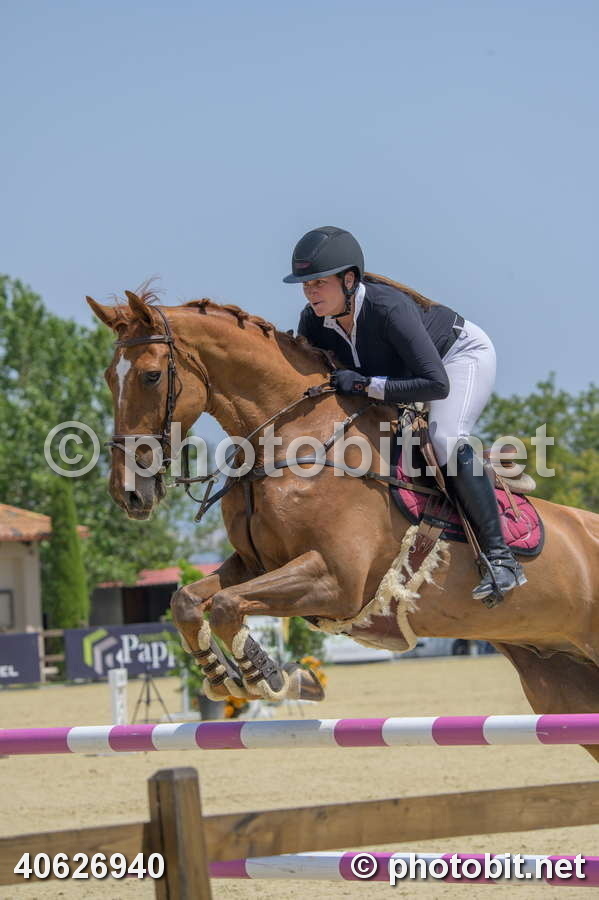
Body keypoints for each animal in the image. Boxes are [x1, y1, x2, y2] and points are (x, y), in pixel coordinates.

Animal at [87, 289, 599, 762]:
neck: (295, 440)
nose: (128, 492)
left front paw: (274, 677)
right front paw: (230, 677)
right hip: (560, 685)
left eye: (152, 375)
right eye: (109, 377)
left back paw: (501, 571)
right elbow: (189, 602)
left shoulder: (337, 579)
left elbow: (228, 607)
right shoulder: (256, 565)